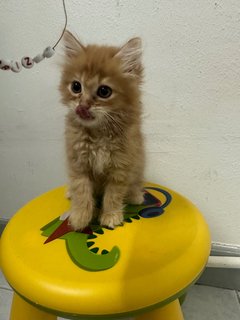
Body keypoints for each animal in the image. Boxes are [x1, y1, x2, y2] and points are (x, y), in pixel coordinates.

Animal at [59, 30, 145, 230]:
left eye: (104, 91)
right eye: (76, 87)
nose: (82, 106)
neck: (99, 134)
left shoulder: (121, 165)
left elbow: (113, 194)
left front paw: (111, 216)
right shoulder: (78, 163)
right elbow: (81, 190)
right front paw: (80, 216)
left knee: (135, 183)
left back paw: (136, 195)